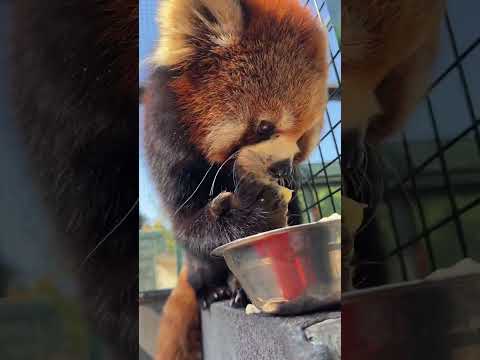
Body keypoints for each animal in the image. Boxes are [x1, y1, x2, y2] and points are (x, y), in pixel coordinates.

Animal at [142, 0, 330, 356]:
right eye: (265, 127)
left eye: (301, 141)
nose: (282, 168)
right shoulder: (167, 146)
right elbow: (187, 225)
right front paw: (250, 213)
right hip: (195, 268)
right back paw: (211, 289)